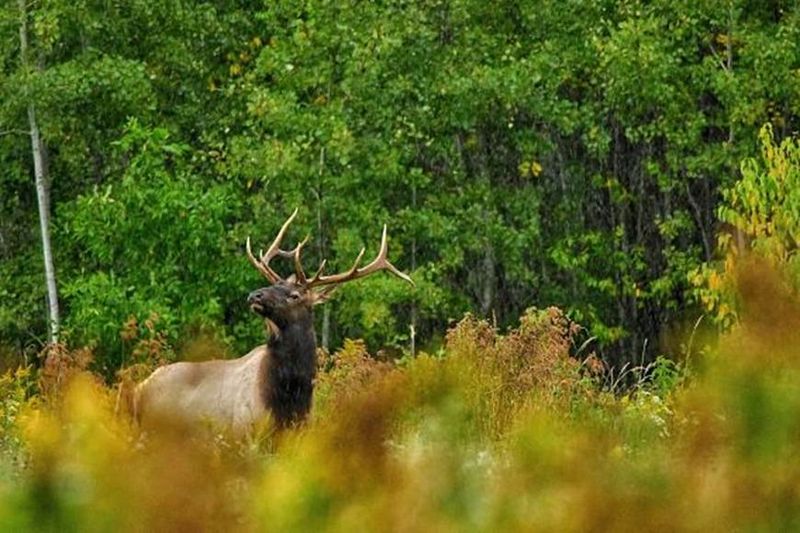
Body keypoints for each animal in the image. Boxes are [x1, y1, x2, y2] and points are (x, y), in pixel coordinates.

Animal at [133, 208, 414, 432]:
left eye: (294, 294)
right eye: (273, 285)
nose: (254, 295)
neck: (290, 395)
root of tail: (138, 389)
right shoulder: (245, 432)